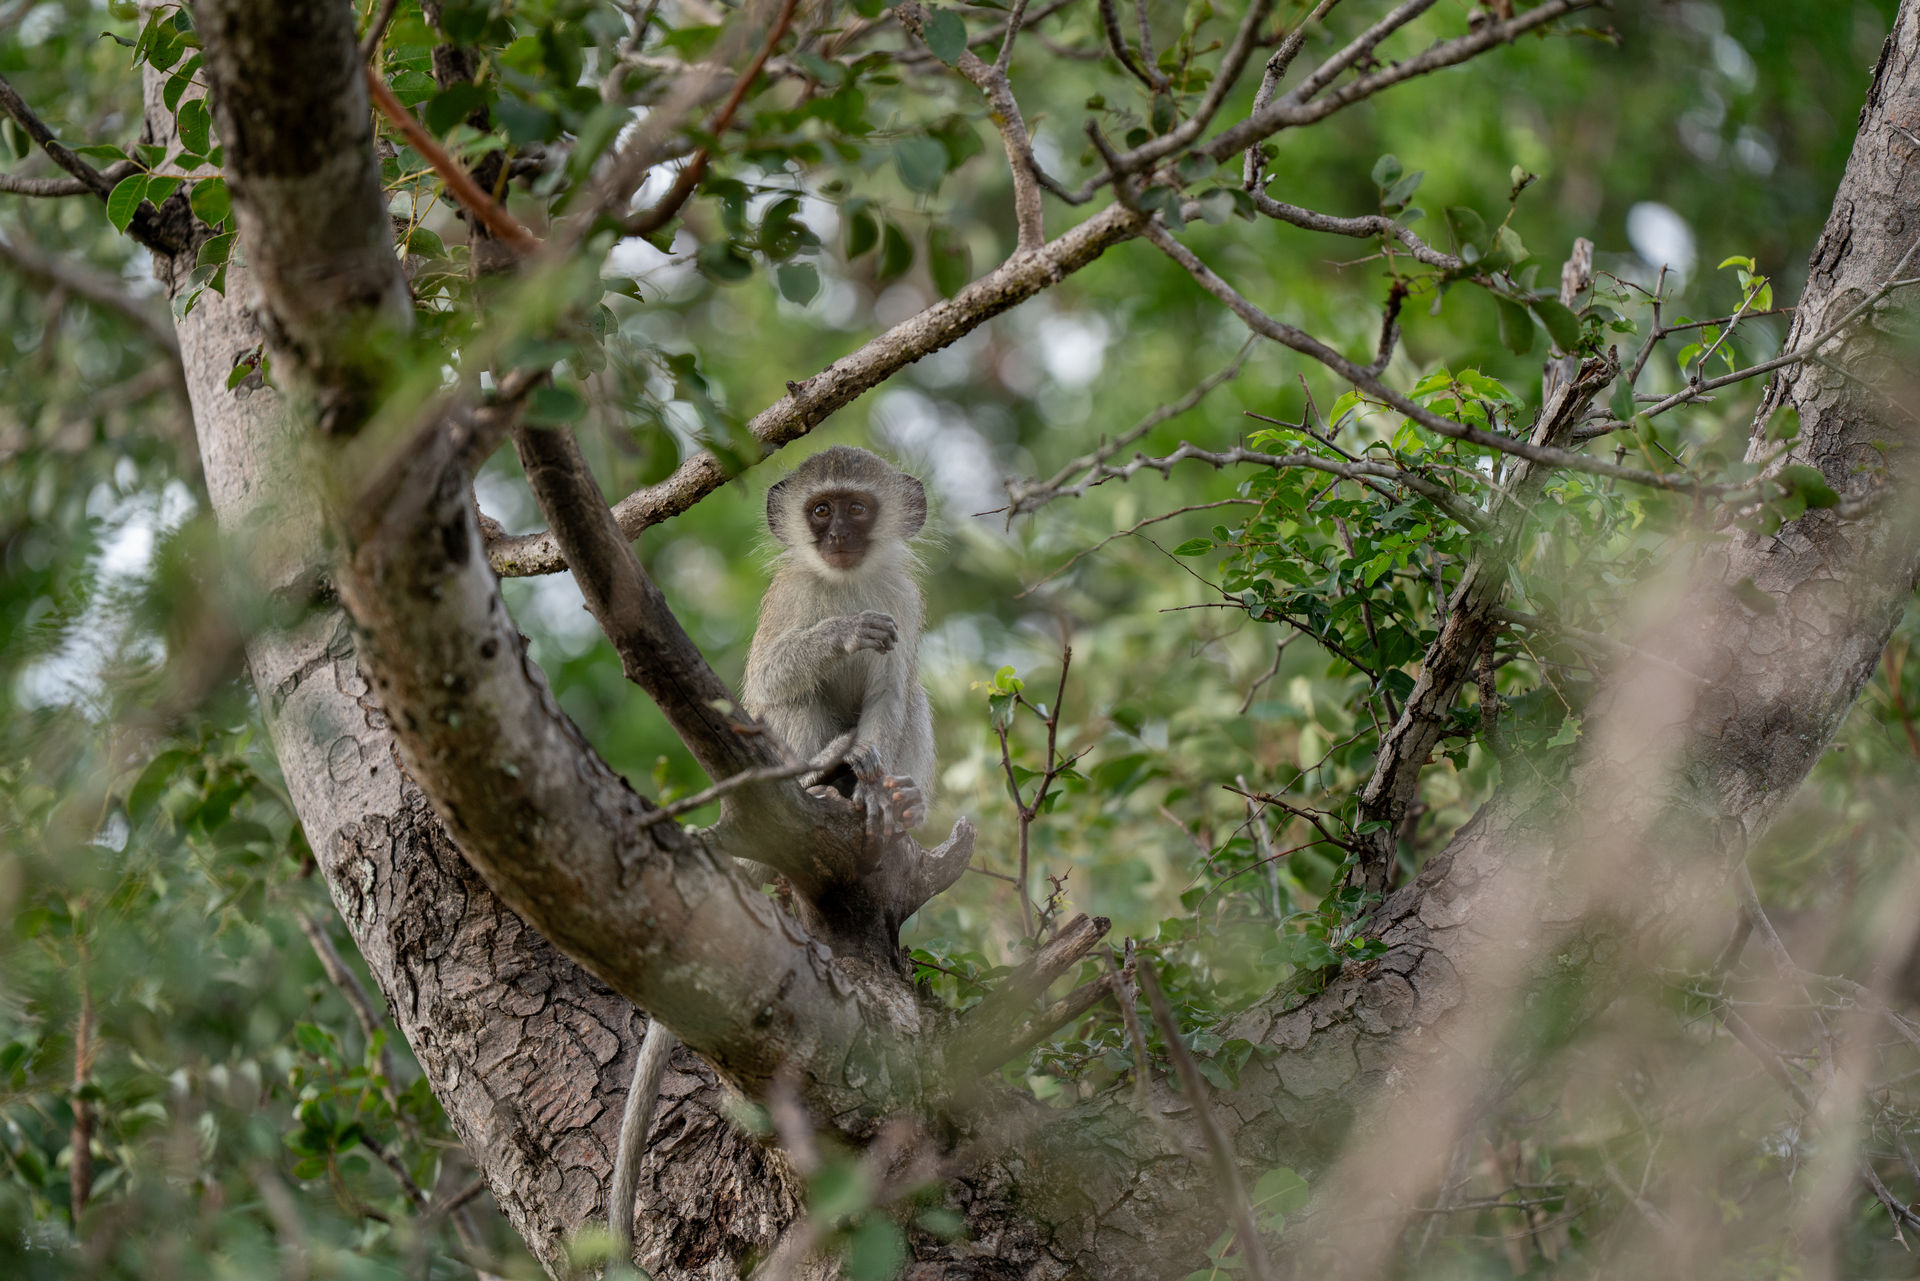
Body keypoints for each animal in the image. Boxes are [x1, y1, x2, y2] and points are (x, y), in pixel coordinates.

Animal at [607, 447, 936, 1265]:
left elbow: (891, 695)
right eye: (820, 511)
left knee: (911, 695)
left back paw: (897, 805)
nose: (838, 536)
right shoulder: (793, 599)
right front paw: (844, 631)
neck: (844, 580)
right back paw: (822, 777)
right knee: (789, 705)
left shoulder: (903, 598)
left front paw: (881, 788)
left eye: (856, 509)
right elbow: (773, 678)